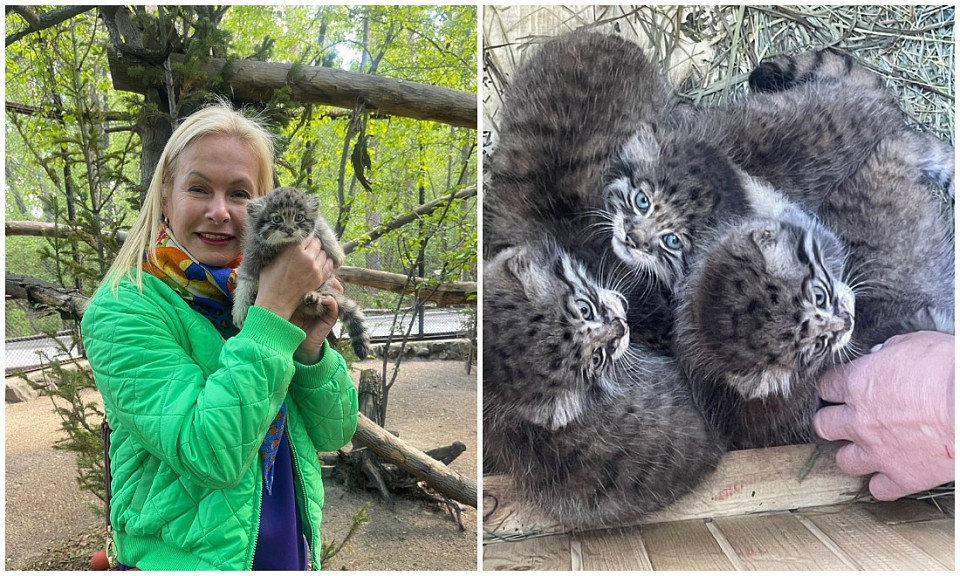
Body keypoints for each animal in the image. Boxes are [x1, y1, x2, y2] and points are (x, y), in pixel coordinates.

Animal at [231, 187, 370, 358]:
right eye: (276, 219)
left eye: (298, 217)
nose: (290, 230)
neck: (284, 244)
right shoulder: (253, 253)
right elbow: (245, 279)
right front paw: (240, 308)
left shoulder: (318, 225)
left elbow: (322, 227)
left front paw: (337, 254)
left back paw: (314, 298)